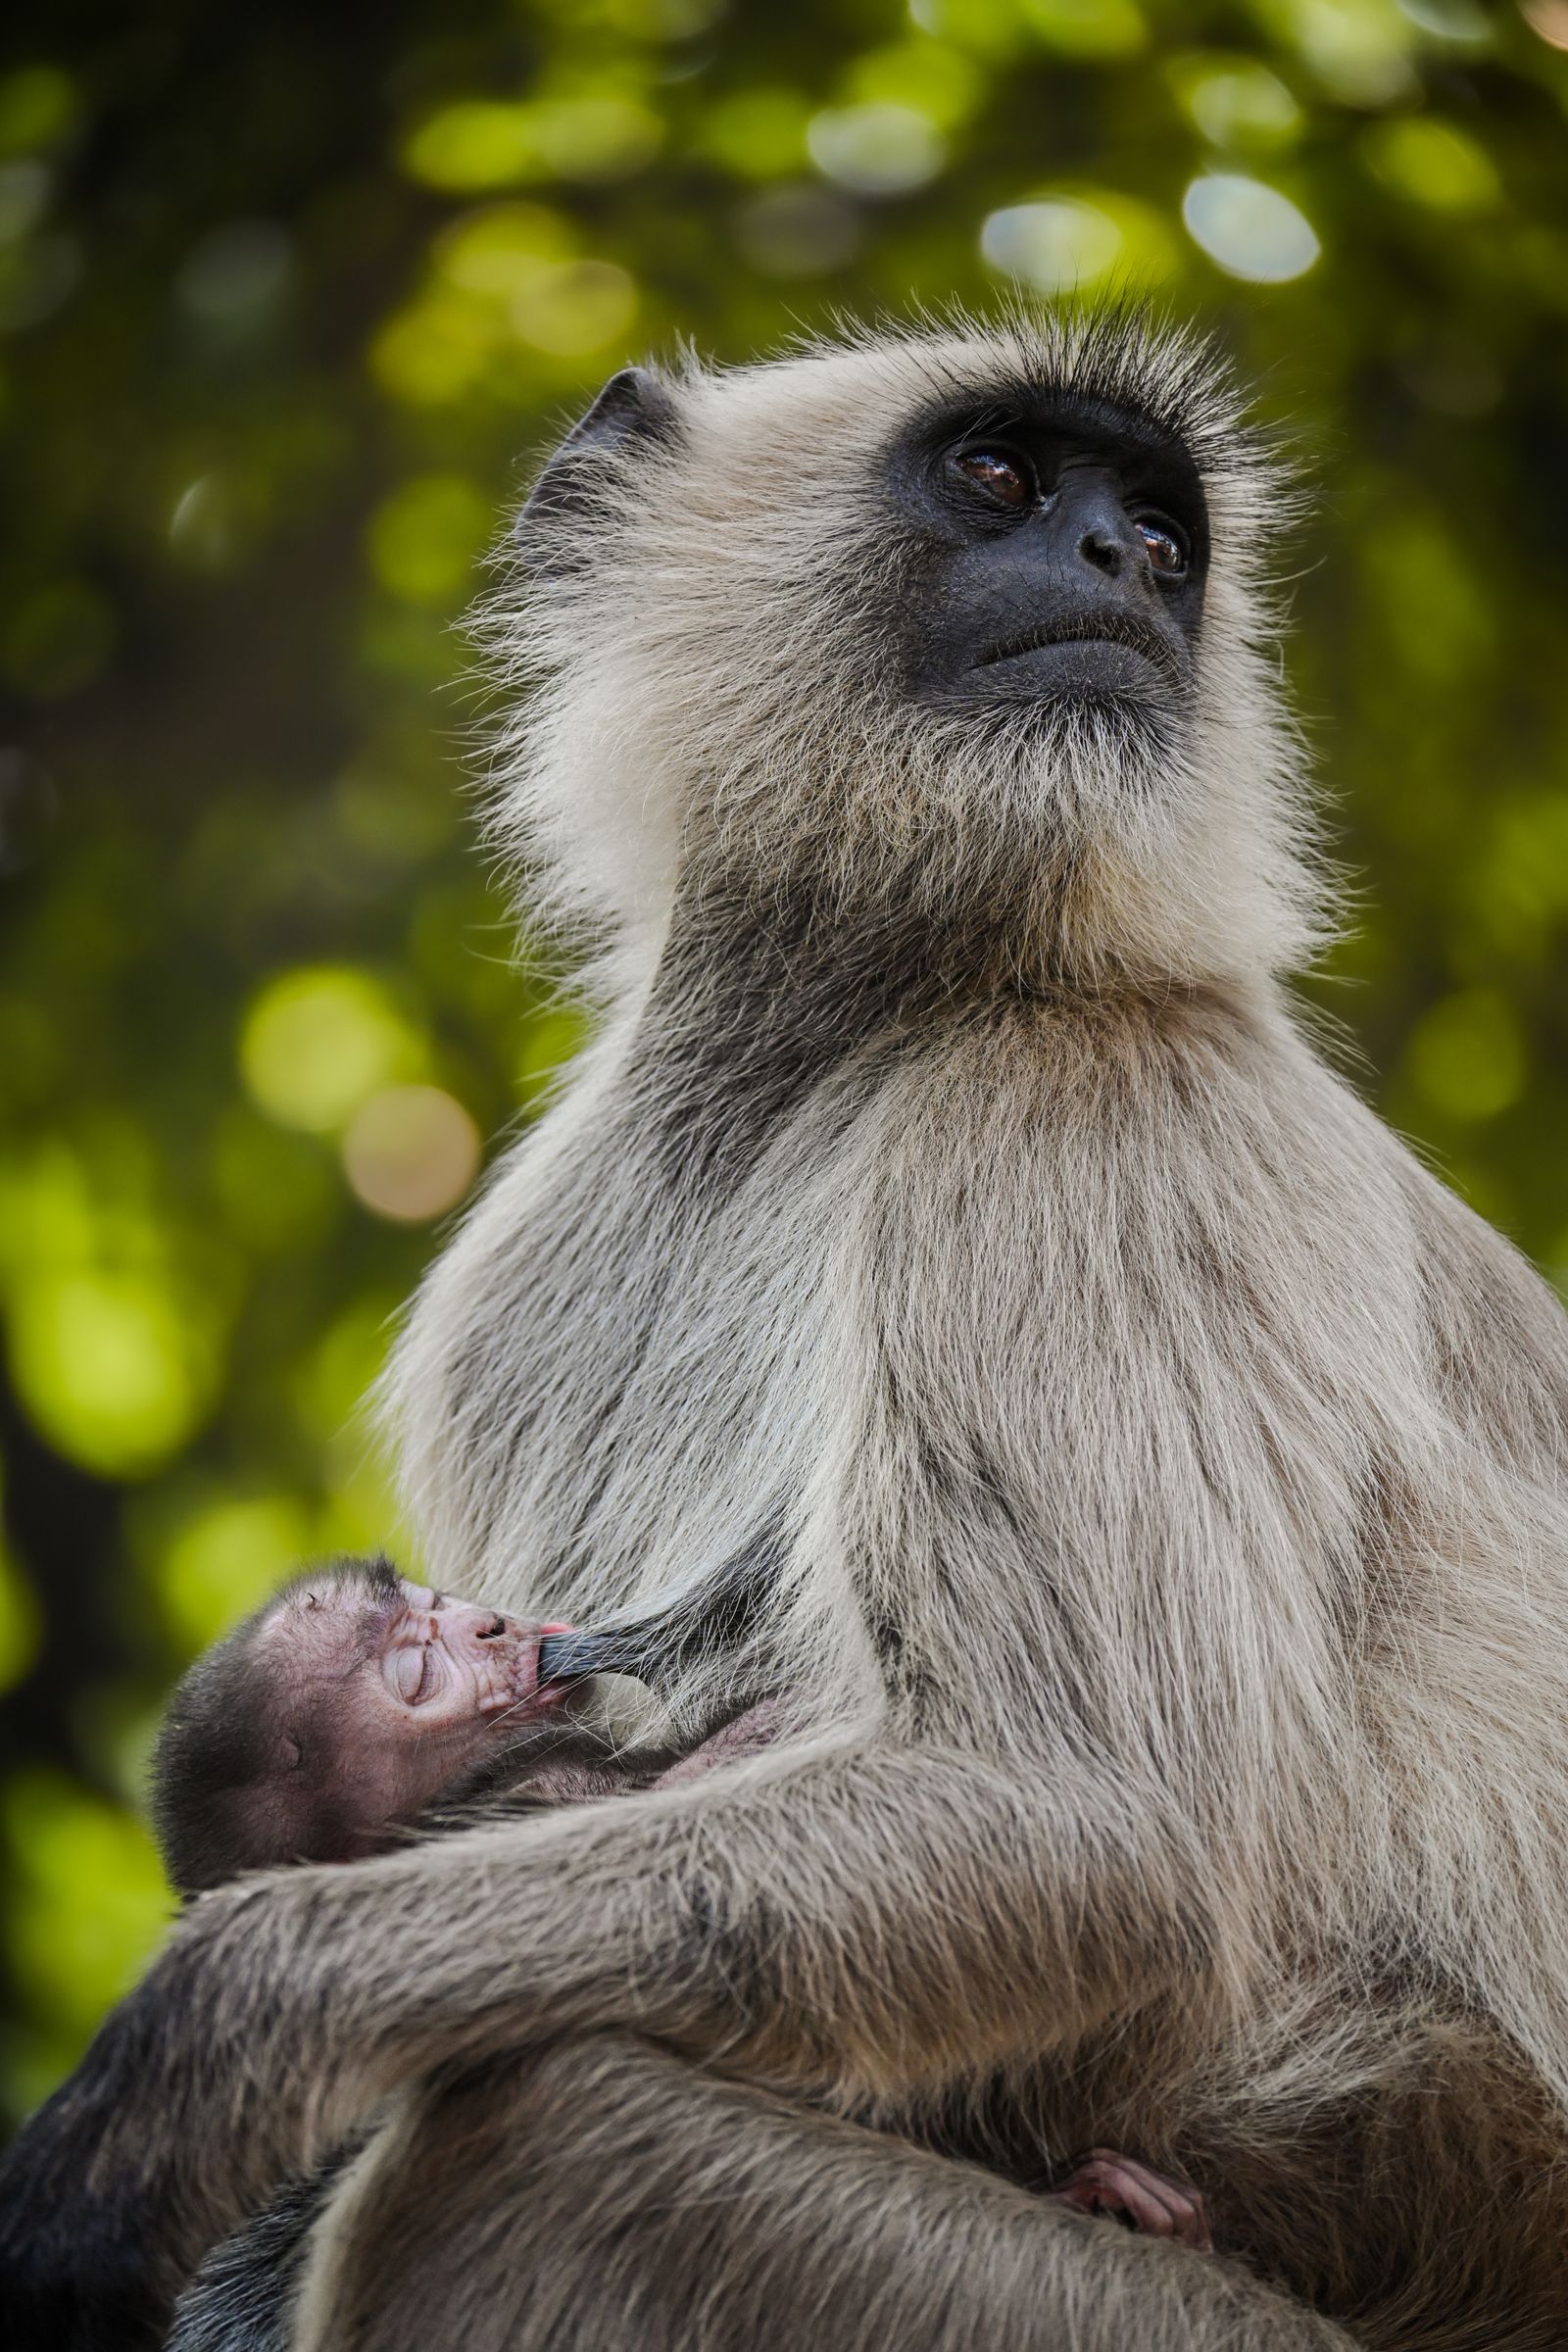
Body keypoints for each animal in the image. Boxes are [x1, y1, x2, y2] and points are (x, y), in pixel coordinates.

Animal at [4, 306, 1568, 2351]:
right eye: (1000, 476)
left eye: (1164, 538)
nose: (1118, 566)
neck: (847, 1031)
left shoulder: (1091, 1113)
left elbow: (1091, 1819)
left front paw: (219, 2034)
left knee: (534, 2137)